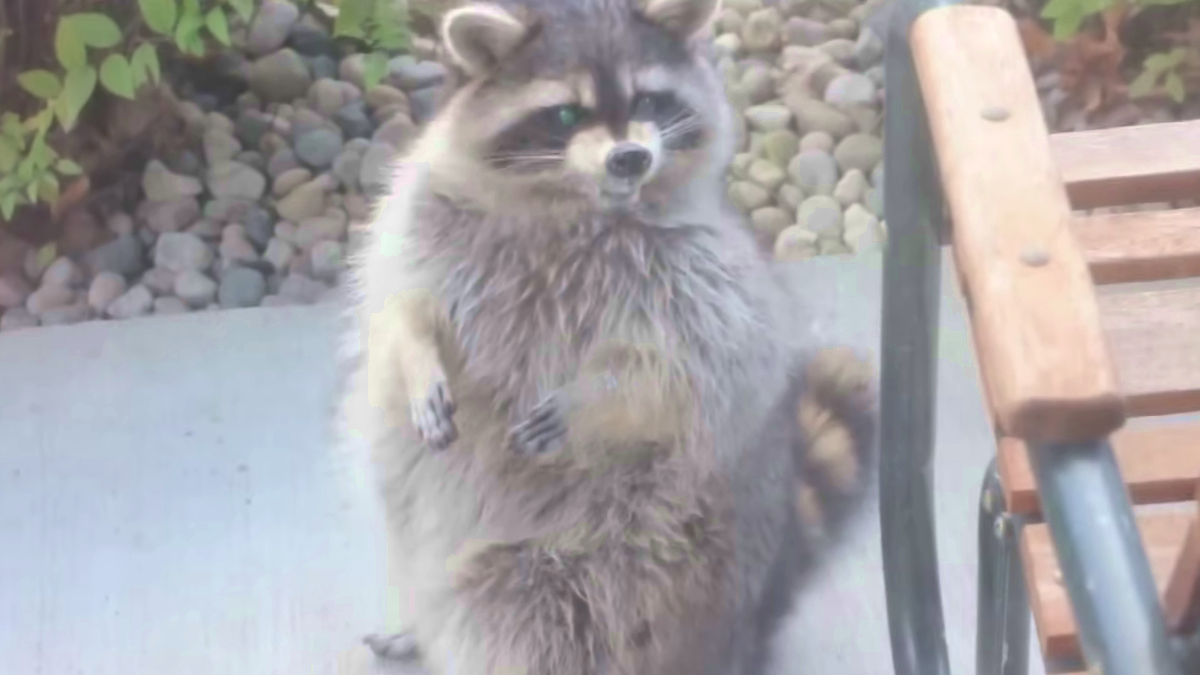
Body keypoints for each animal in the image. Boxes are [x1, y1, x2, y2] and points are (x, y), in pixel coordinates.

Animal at [337, 1, 877, 673]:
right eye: (567, 113)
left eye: (647, 99)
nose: (630, 158)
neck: (571, 204)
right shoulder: (424, 222)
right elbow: (402, 307)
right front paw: (418, 357)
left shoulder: (700, 269)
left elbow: (687, 365)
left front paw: (596, 395)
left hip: (620, 568)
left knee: (532, 621)